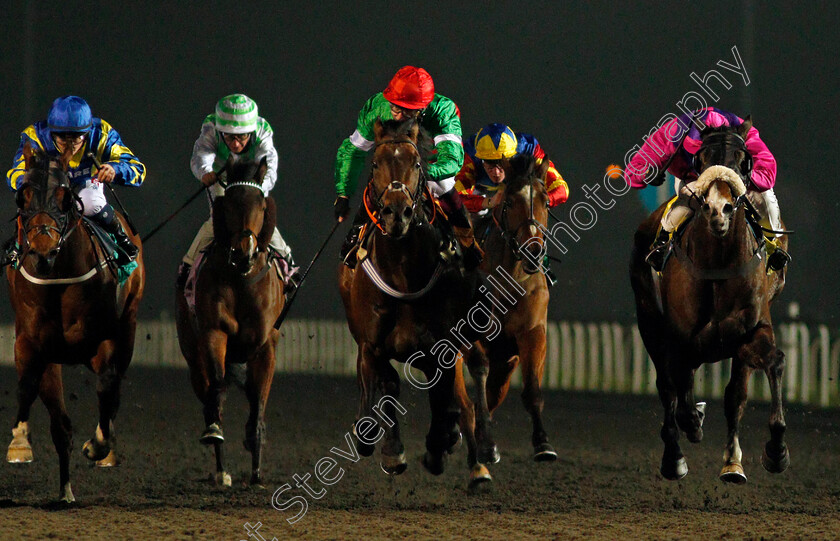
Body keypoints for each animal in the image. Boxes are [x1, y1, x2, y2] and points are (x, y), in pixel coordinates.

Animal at [5, 141, 146, 500]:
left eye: (65, 197)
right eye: (23, 196)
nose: (43, 253)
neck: (59, 281)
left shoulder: (106, 339)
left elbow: (107, 386)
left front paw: (99, 446)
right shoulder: (31, 343)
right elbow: (28, 387)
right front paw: (19, 443)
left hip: (129, 324)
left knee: (113, 390)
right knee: (61, 425)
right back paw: (65, 491)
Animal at [176, 155, 284, 486]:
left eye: (260, 204)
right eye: (229, 204)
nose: (243, 252)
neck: (241, 279)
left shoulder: (265, 344)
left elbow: (258, 401)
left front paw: (257, 468)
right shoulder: (215, 333)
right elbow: (218, 387)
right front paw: (216, 433)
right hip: (192, 354)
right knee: (209, 394)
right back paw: (221, 468)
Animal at [336, 117, 480, 476]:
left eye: (416, 163)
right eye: (375, 164)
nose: (396, 213)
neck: (402, 276)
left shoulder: (442, 345)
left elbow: (440, 395)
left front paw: (439, 445)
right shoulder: (371, 343)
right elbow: (386, 384)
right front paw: (389, 449)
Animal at [452, 153, 556, 486]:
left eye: (545, 201)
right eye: (509, 201)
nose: (533, 251)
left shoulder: (532, 332)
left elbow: (532, 389)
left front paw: (543, 443)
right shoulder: (470, 335)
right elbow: (479, 376)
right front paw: (486, 445)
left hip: (507, 361)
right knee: (464, 398)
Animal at [632, 120, 792, 484]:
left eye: (742, 159)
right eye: (703, 158)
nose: (719, 209)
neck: (717, 264)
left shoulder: (751, 331)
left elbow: (769, 366)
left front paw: (776, 451)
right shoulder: (678, 339)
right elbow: (675, 390)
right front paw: (686, 434)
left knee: (732, 394)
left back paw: (731, 462)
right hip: (648, 321)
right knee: (668, 386)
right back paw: (676, 455)